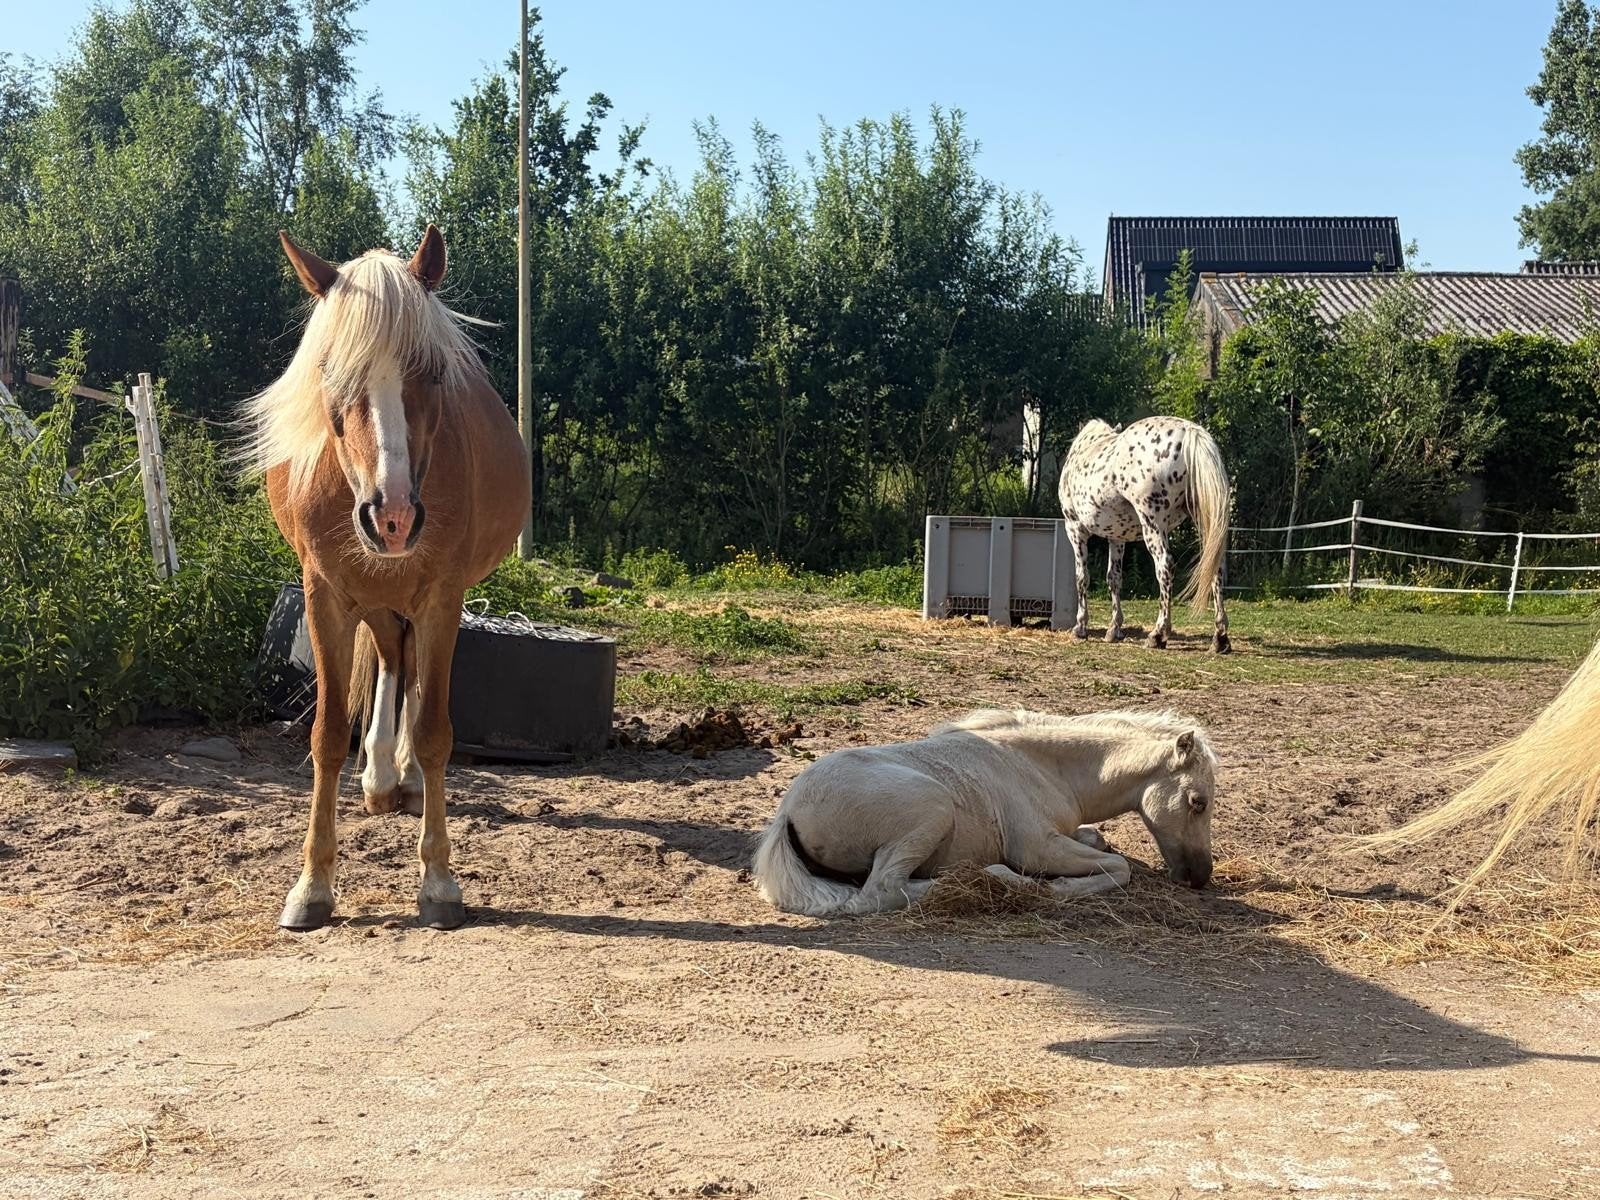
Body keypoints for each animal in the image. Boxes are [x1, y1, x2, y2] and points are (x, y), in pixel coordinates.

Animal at [242, 227, 529, 930]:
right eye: (330, 372)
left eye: (432, 372)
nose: (392, 517)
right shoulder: (324, 595)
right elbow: (325, 735)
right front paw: (312, 886)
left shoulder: (443, 598)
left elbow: (434, 734)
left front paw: (439, 882)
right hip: (372, 596)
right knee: (394, 656)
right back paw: (377, 778)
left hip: (419, 600)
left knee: (415, 674)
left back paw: (402, 777)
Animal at [752, 708, 1217, 917]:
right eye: (1198, 801)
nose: (1200, 877)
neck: (1042, 767)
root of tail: (788, 809)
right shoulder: (1038, 847)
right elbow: (1118, 867)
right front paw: (1058, 889)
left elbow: (1099, 840)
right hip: (932, 807)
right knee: (880, 891)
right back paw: (992, 877)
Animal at [1058, 416, 1231, 652]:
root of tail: (1189, 432)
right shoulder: (1117, 537)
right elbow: (1114, 578)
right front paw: (1114, 630)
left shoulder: (1075, 529)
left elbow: (1082, 577)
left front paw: (1080, 627)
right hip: (1205, 522)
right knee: (1215, 568)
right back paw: (1220, 638)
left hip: (1152, 523)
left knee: (1165, 566)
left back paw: (1158, 635)